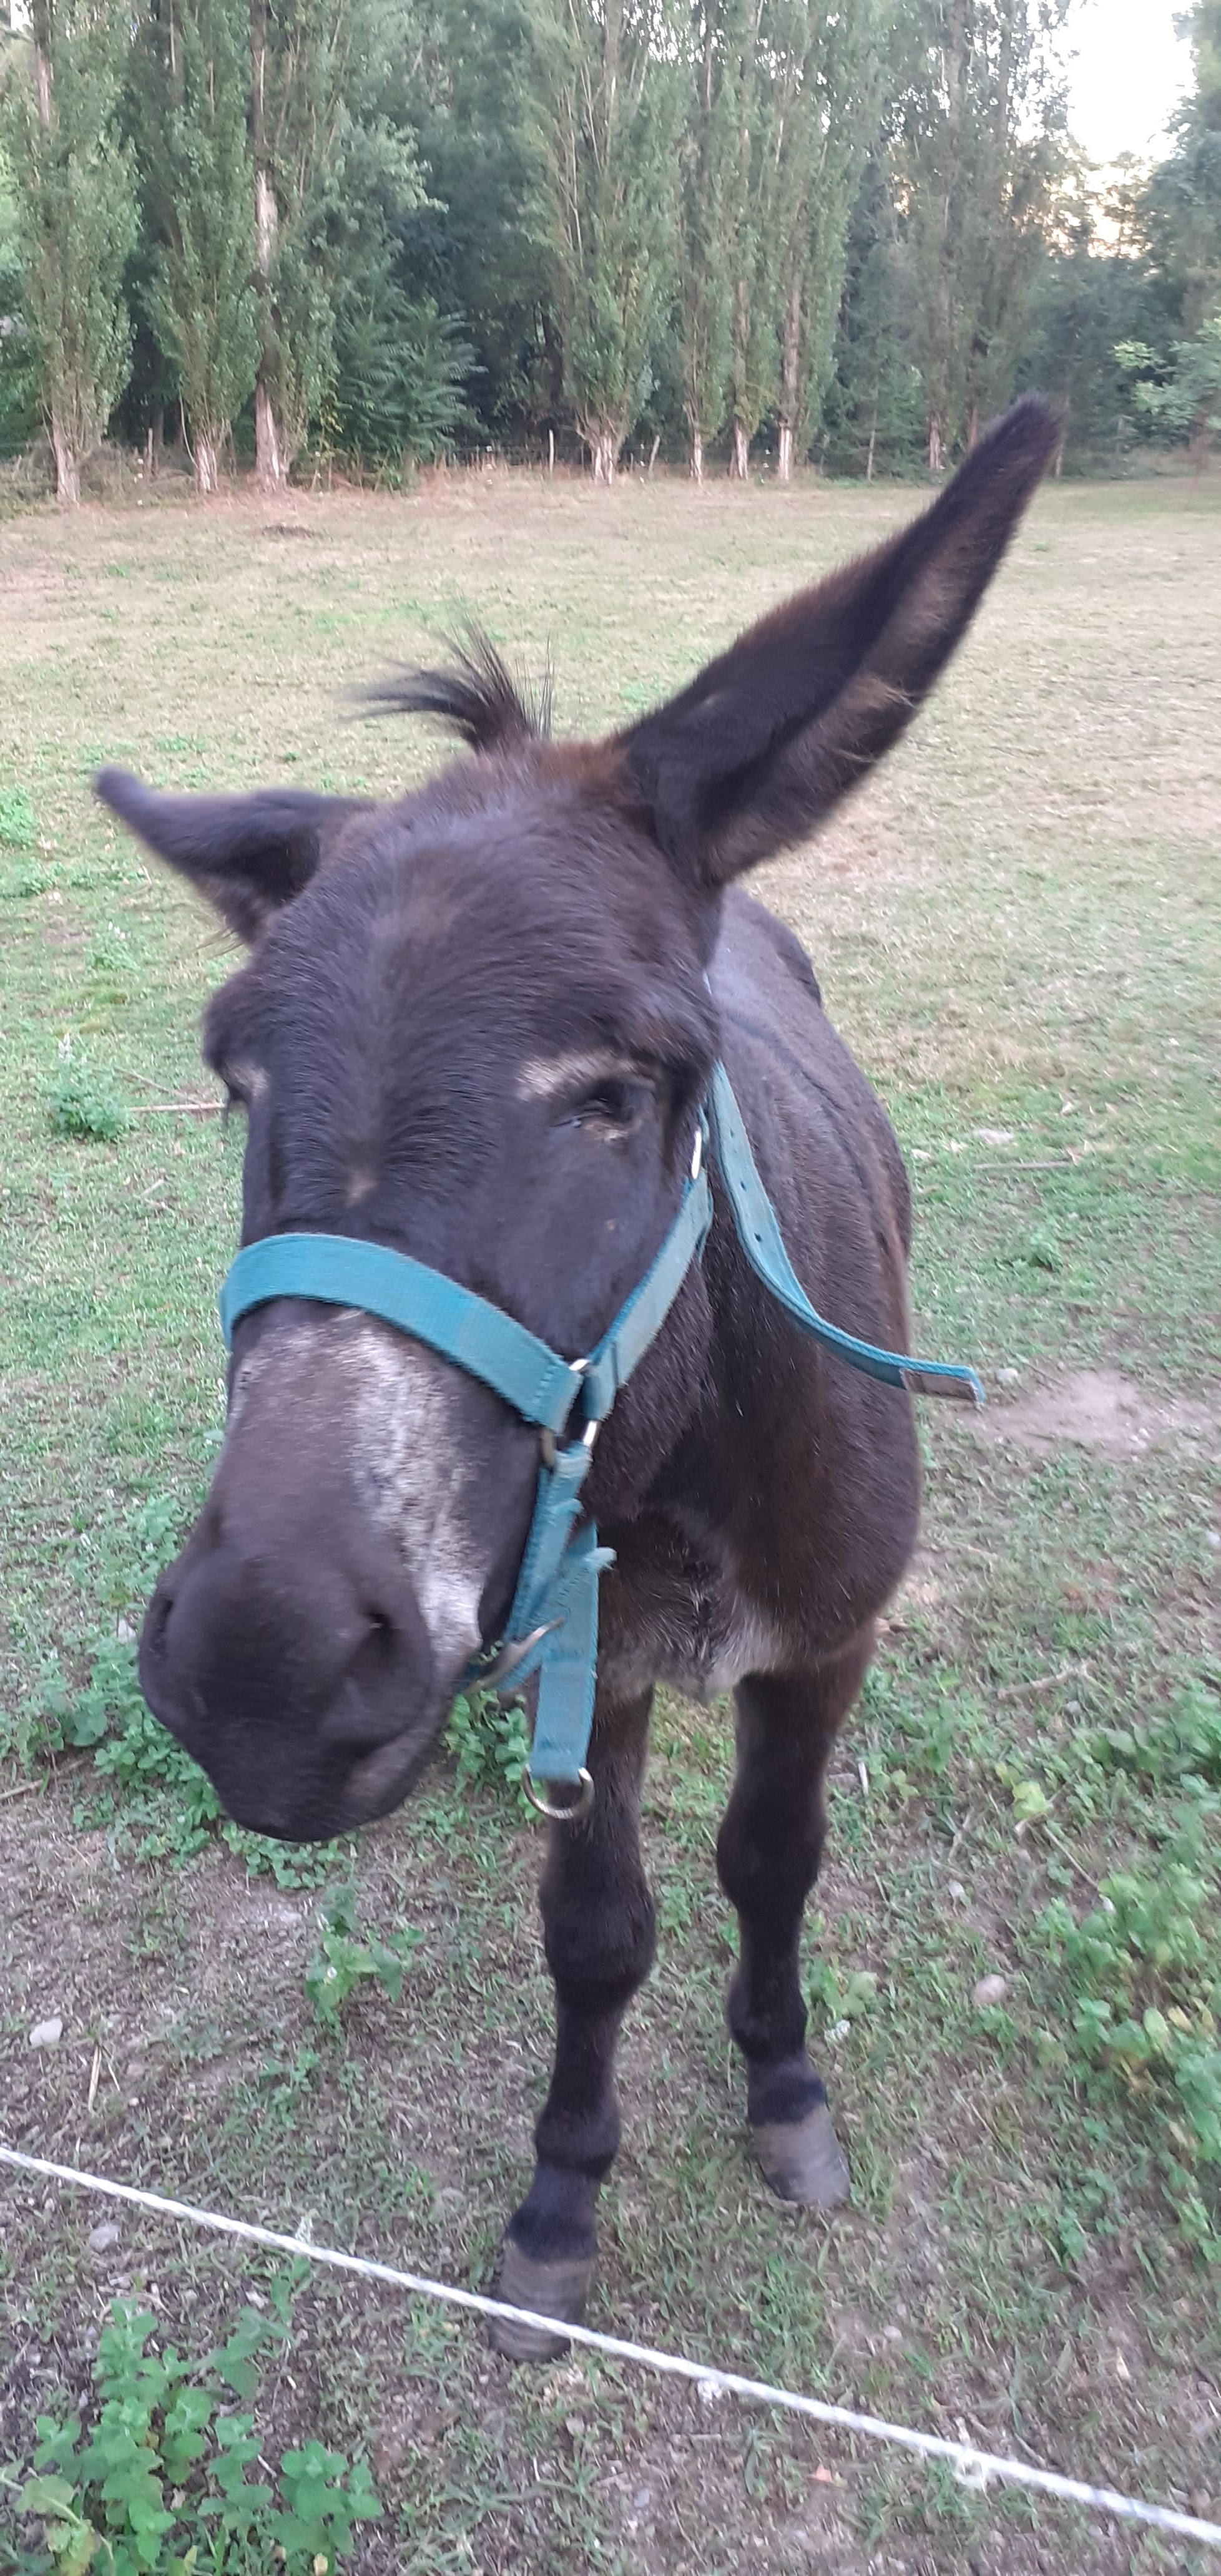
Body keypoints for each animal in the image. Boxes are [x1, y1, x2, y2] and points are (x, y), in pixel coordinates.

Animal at [96, 395, 1056, 2357]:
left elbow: (771, 1858)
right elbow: (594, 1926)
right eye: (233, 1079)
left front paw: (782, 2092)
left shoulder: (827, 1639)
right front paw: (560, 2200)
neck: (676, 1478)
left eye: (620, 1090)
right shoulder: (581, 1663)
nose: (262, 1667)